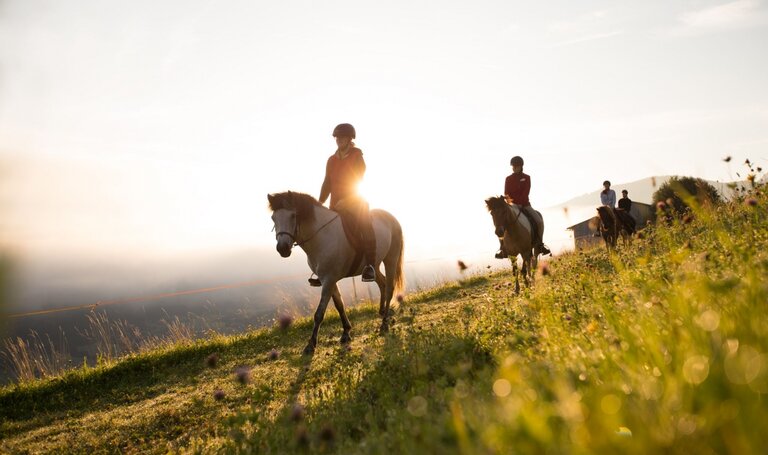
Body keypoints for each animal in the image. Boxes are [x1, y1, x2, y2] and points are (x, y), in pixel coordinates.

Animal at [268, 191, 405, 355]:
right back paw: (382, 311)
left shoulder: (329, 279)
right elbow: (339, 305)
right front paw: (346, 332)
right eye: (273, 218)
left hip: (391, 259)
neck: (322, 236)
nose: (282, 248)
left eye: (293, 215)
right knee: (382, 283)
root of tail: (391, 218)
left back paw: (384, 324)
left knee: (389, 288)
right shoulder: (327, 279)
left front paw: (311, 345)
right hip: (374, 265)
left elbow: (319, 313)